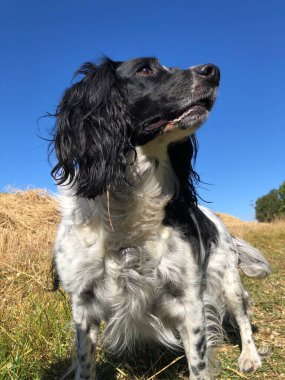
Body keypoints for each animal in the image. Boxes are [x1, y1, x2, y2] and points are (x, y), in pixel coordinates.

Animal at [50, 57, 270, 380]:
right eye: (145, 69)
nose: (213, 70)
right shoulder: (83, 302)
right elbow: (84, 363)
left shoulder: (190, 301)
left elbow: (199, 364)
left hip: (228, 279)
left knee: (242, 316)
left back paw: (249, 356)